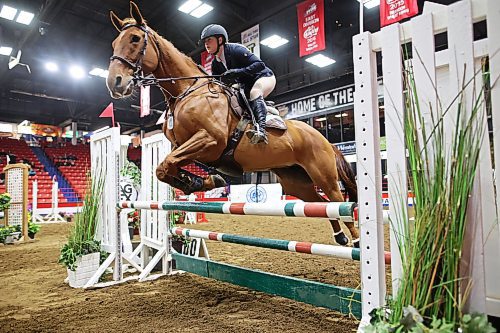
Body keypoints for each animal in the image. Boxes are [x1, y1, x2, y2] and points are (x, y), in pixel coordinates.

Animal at [105, 1, 360, 246]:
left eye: (135, 38)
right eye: (114, 43)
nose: (115, 83)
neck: (187, 91)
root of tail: (323, 139)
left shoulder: (210, 140)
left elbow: (166, 165)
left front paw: (200, 181)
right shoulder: (185, 147)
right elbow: (165, 167)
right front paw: (198, 182)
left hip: (323, 175)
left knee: (338, 202)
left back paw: (357, 241)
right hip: (296, 181)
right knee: (320, 204)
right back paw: (340, 236)